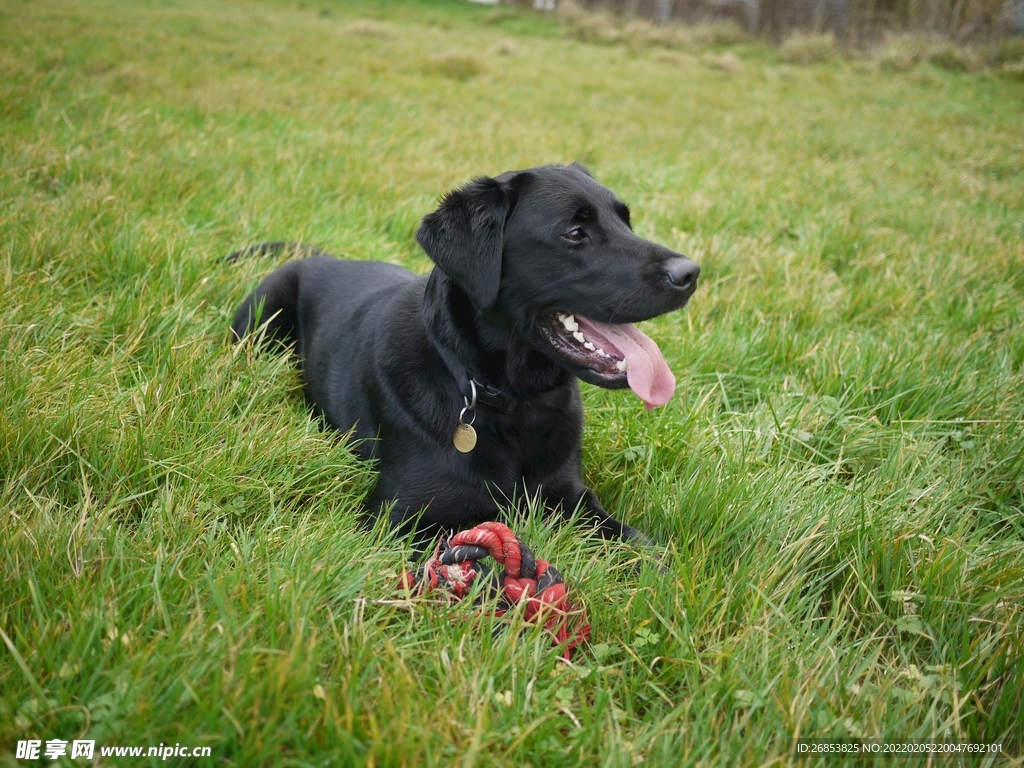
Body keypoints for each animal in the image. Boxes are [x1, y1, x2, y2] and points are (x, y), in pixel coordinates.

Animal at [230, 165, 696, 544]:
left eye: (626, 221)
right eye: (574, 233)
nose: (691, 273)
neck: (512, 405)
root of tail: (322, 256)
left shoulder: (571, 496)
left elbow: (639, 544)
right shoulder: (395, 519)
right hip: (262, 315)